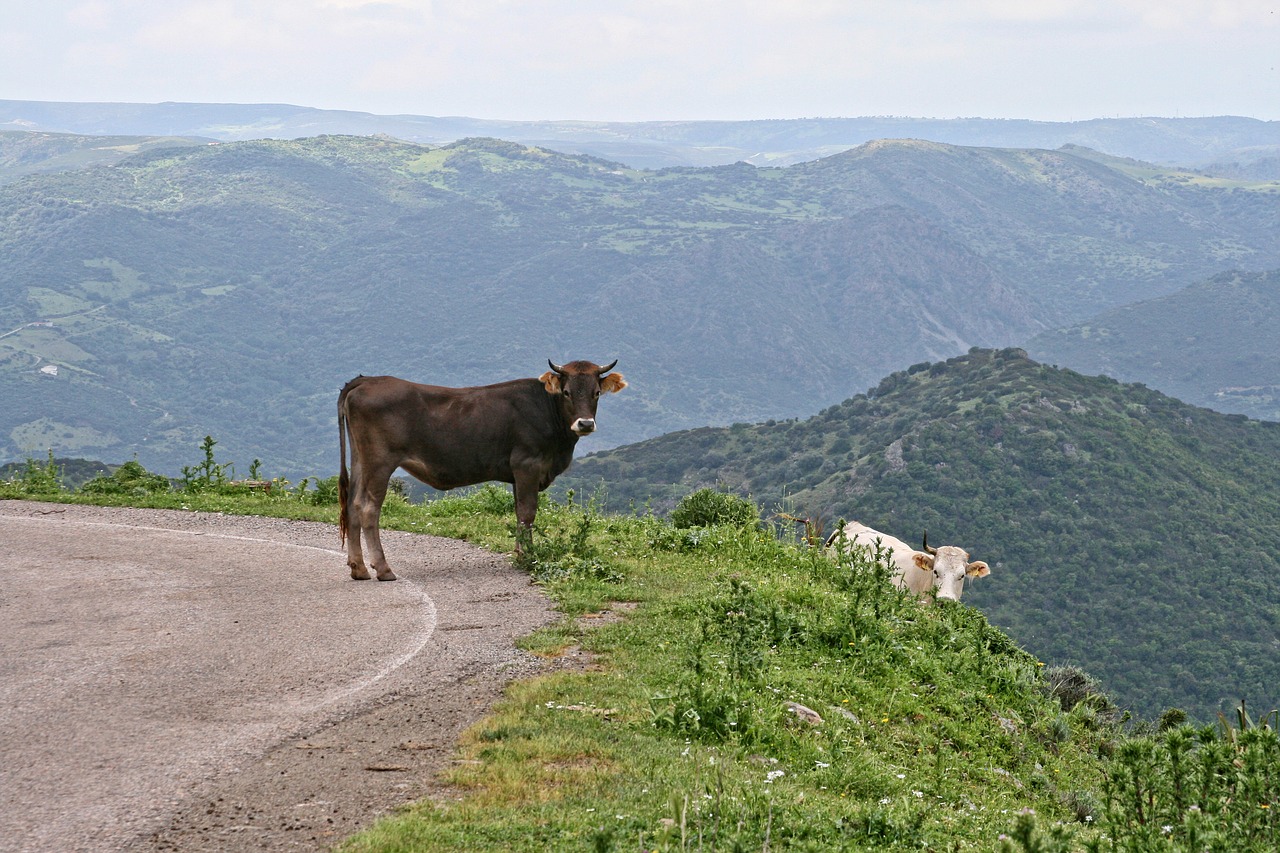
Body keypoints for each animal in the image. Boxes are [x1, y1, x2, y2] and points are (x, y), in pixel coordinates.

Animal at [335, 358, 624, 578]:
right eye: (566, 393)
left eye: (596, 393)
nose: (585, 423)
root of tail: (367, 380)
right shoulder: (527, 465)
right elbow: (528, 513)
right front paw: (527, 557)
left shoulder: (517, 474)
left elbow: (519, 512)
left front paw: (520, 552)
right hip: (379, 462)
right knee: (368, 508)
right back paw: (383, 569)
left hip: (360, 460)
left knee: (352, 504)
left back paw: (358, 568)